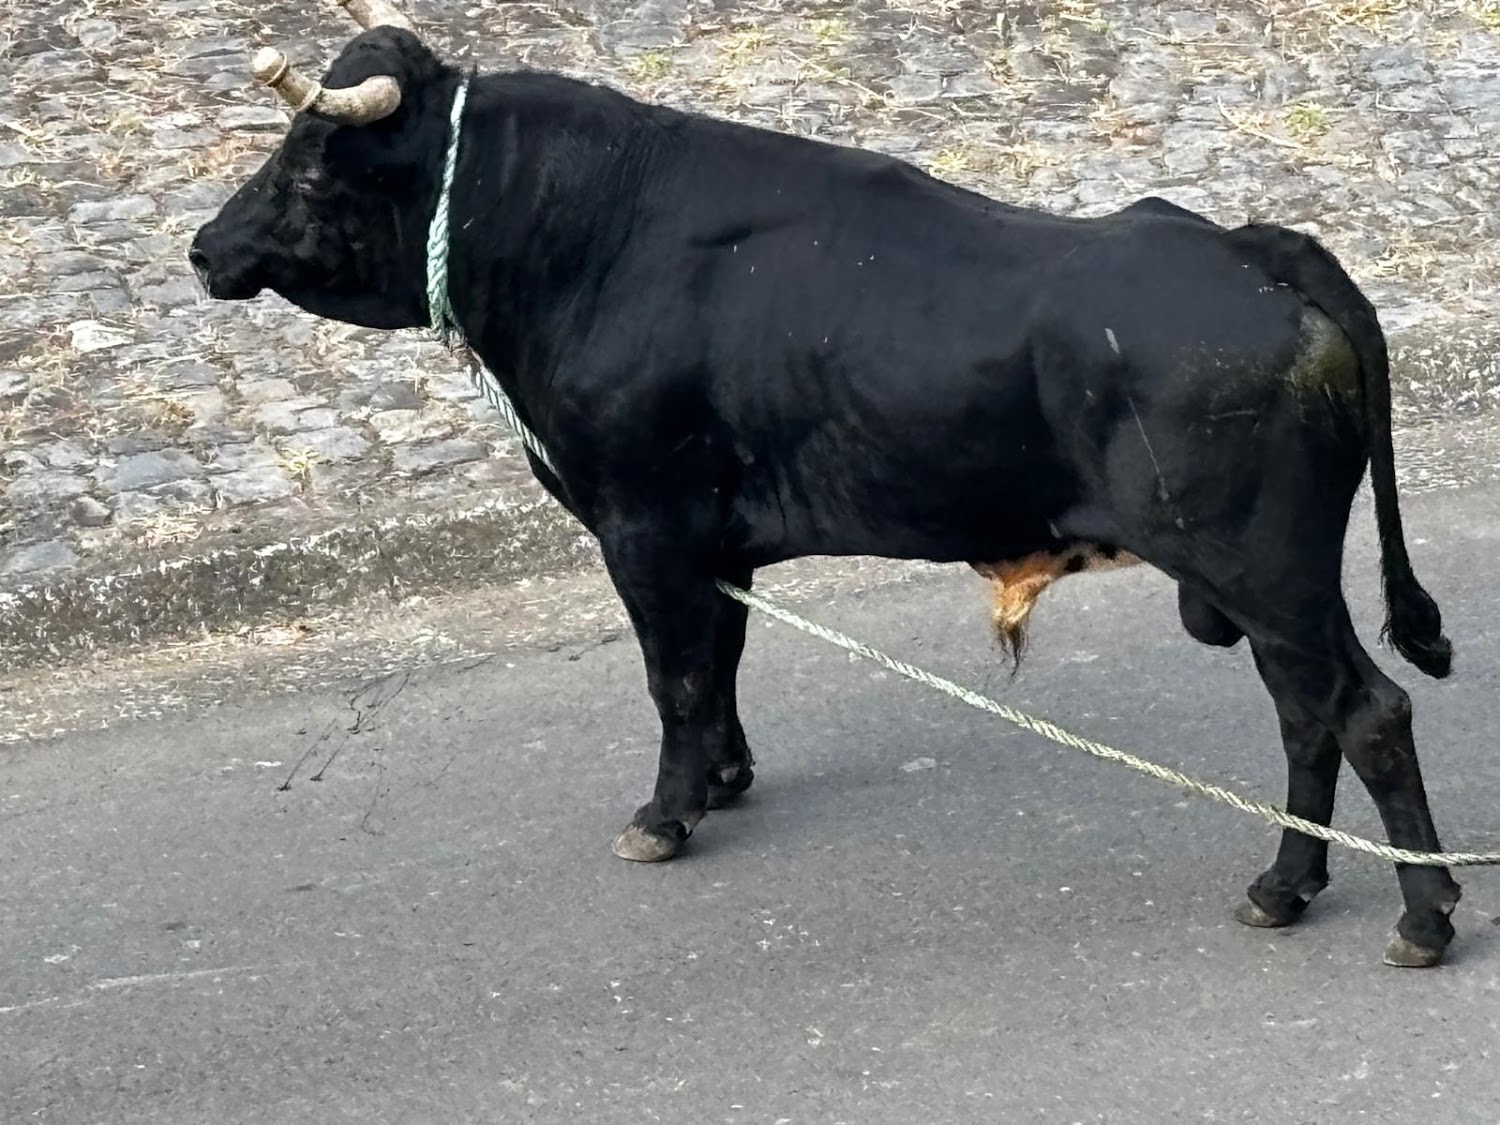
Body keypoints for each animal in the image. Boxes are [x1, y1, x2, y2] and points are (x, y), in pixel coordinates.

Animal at [191, 0, 1462, 967]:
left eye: (313, 166)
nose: (206, 249)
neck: (589, 237)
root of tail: (1252, 245)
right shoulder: (714, 540)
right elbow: (720, 661)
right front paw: (725, 780)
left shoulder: (641, 526)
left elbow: (674, 677)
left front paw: (667, 813)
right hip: (1274, 583)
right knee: (1310, 715)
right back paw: (1285, 887)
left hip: (1262, 568)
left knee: (1366, 711)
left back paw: (1420, 915)